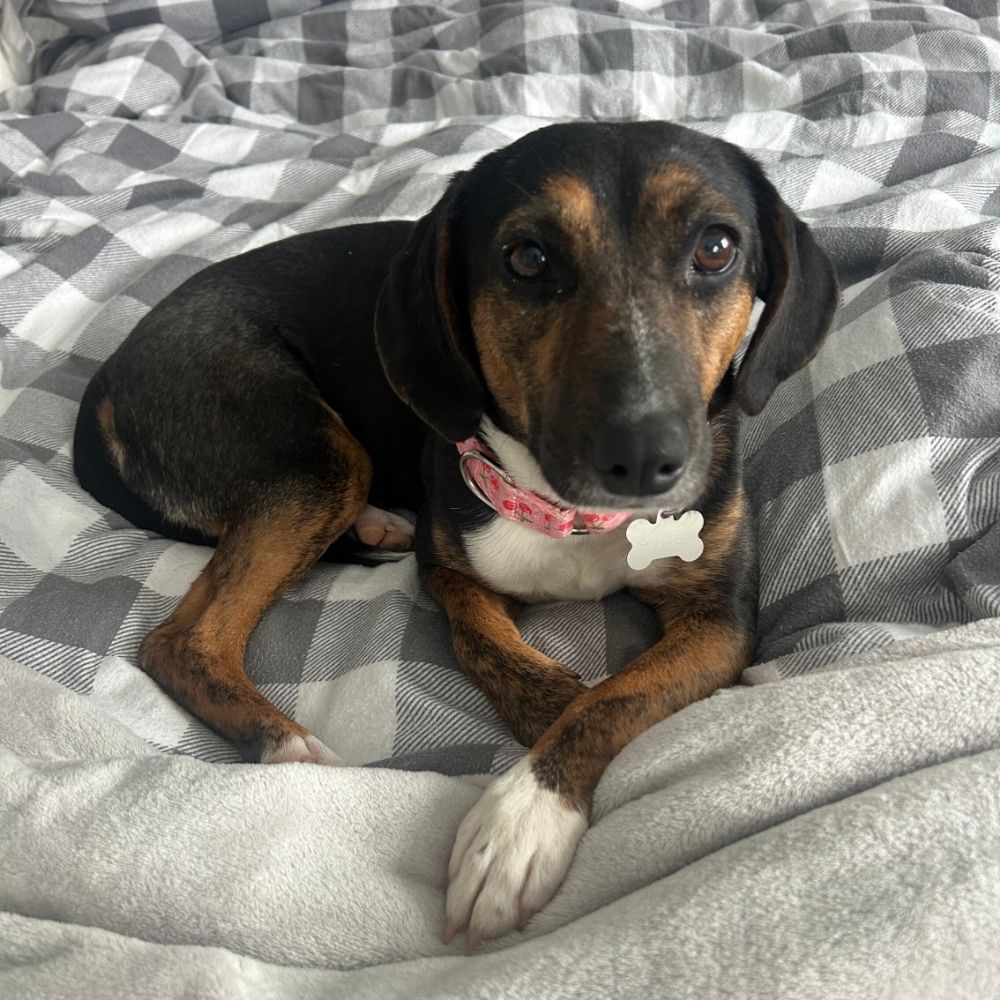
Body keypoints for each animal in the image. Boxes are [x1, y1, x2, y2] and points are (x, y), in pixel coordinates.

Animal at [73, 121, 838, 950]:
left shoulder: (720, 616)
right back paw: (286, 743)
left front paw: (524, 813)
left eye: (716, 248)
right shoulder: (451, 575)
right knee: (181, 640)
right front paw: (536, 765)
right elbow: (513, 660)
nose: (643, 454)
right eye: (527, 258)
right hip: (310, 457)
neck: (572, 514)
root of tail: (109, 375)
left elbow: (620, 696)